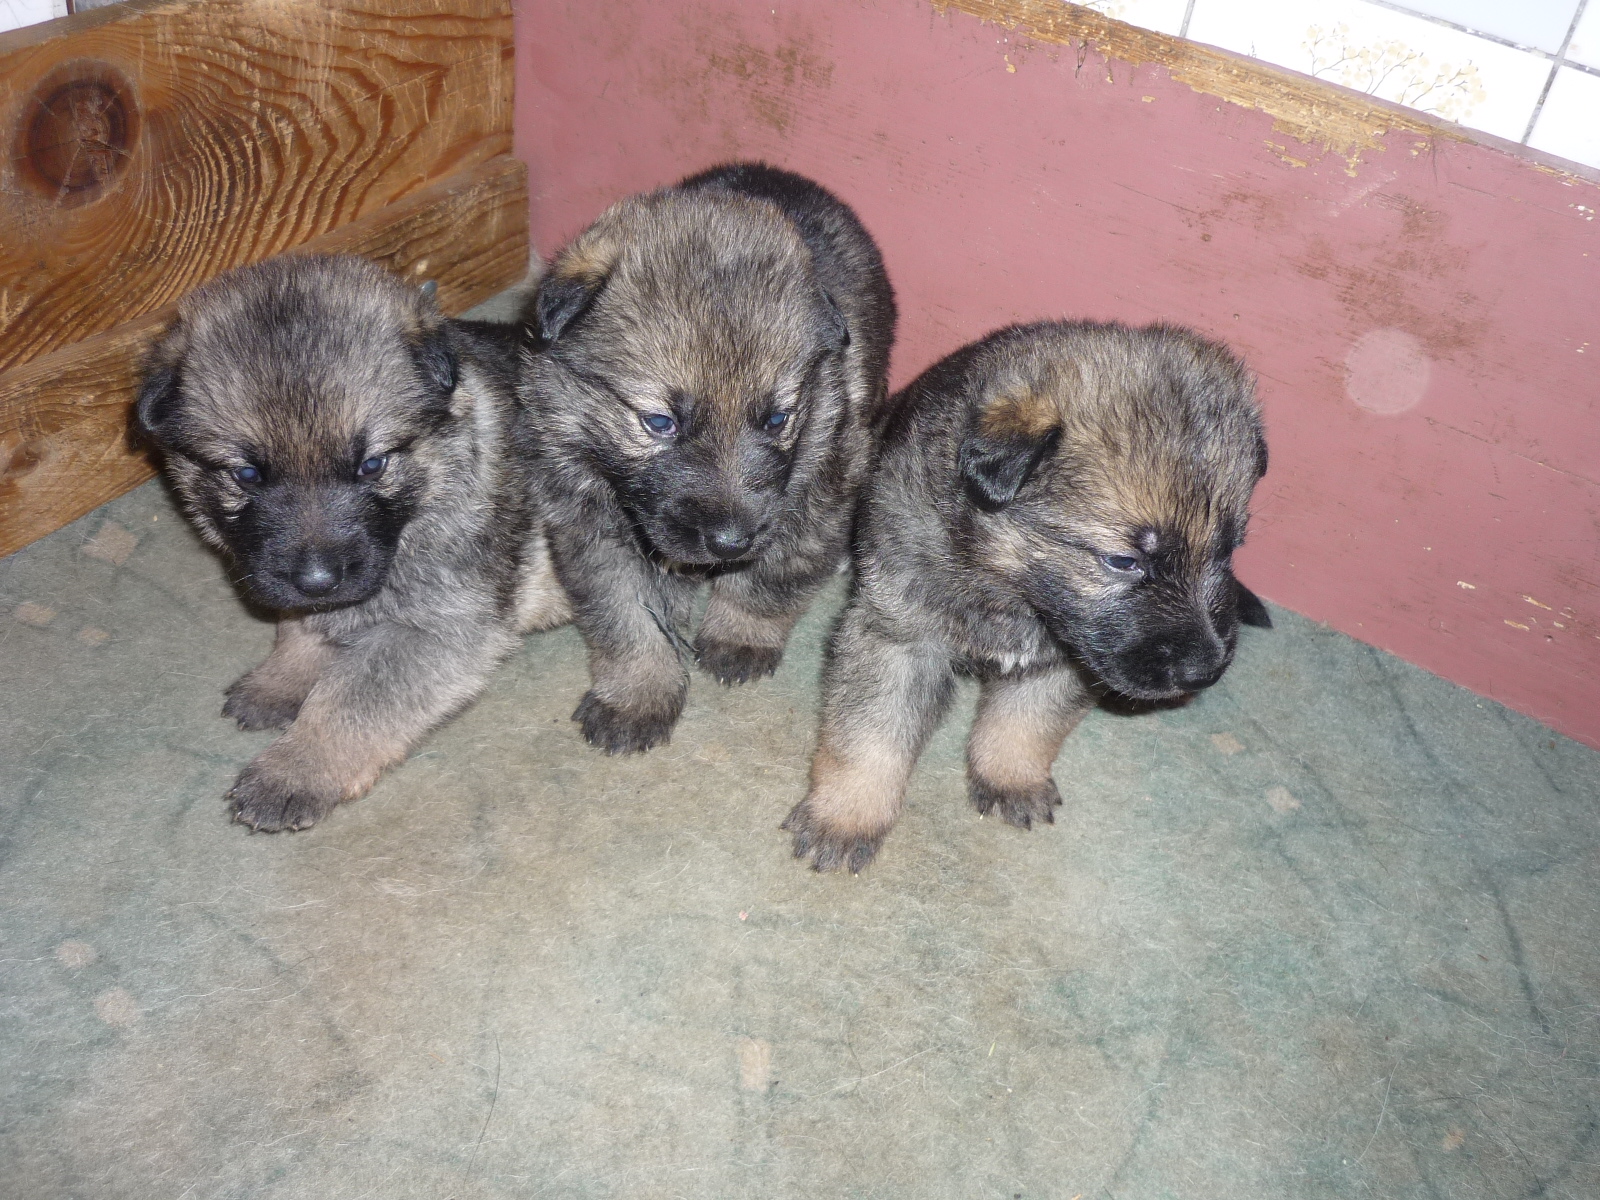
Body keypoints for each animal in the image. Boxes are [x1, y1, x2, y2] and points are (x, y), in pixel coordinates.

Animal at [134, 254, 570, 831]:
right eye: (246, 475)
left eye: (372, 465)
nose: (318, 580)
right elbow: (301, 626)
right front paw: (281, 680)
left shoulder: (437, 631)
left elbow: (349, 702)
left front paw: (294, 770)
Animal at [522, 162, 896, 753]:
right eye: (660, 423)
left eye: (777, 419)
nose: (730, 542)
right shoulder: (584, 521)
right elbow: (625, 617)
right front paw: (637, 695)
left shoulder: (825, 484)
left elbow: (771, 577)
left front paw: (738, 635)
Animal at [783, 320, 1272, 872]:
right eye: (1123, 561)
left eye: (1228, 549)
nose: (1204, 671)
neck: (1009, 586)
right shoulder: (897, 638)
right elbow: (870, 736)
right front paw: (843, 817)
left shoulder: (1068, 658)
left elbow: (1026, 723)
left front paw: (1010, 778)